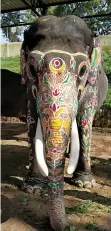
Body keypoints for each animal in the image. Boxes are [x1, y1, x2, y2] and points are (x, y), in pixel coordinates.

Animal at [20, 15, 107, 231]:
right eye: (31, 68)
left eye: (83, 70)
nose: (64, 226)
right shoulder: (28, 87)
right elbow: (32, 119)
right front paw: (33, 188)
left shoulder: (91, 86)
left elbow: (84, 120)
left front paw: (84, 183)